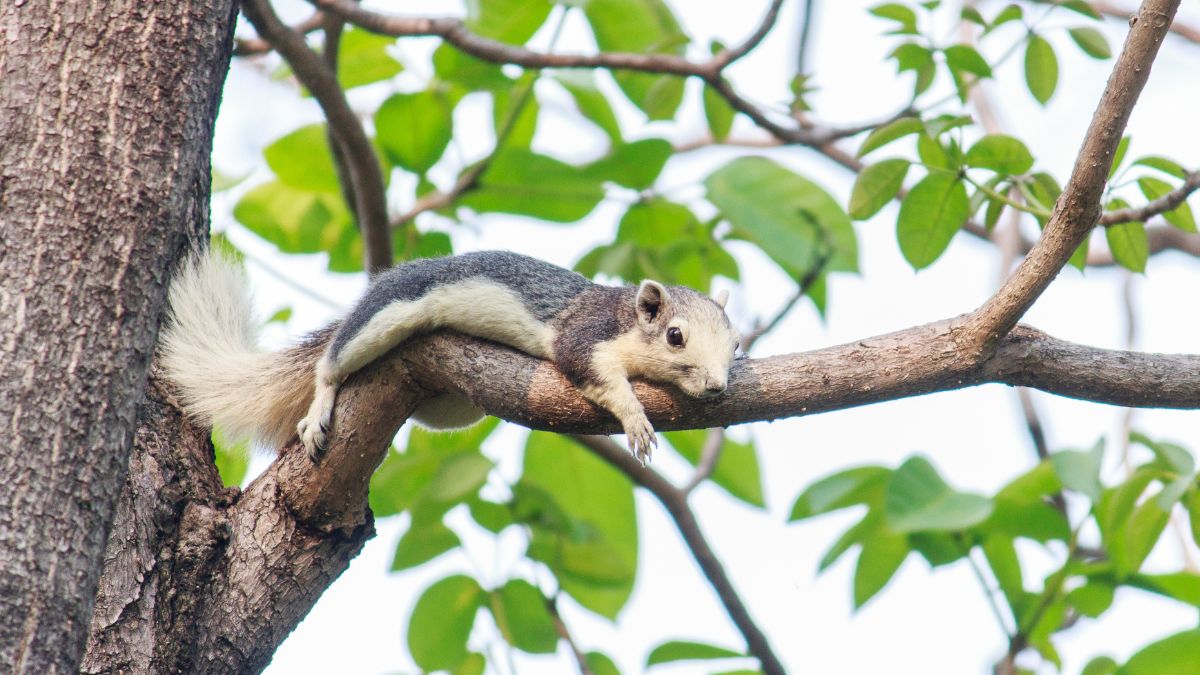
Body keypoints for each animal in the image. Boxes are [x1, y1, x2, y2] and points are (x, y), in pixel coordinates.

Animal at [159, 249, 740, 464]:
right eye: (675, 336)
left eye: (736, 345)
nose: (717, 387)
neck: (624, 317)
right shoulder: (584, 336)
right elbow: (597, 374)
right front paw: (636, 419)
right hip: (384, 315)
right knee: (331, 363)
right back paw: (319, 408)